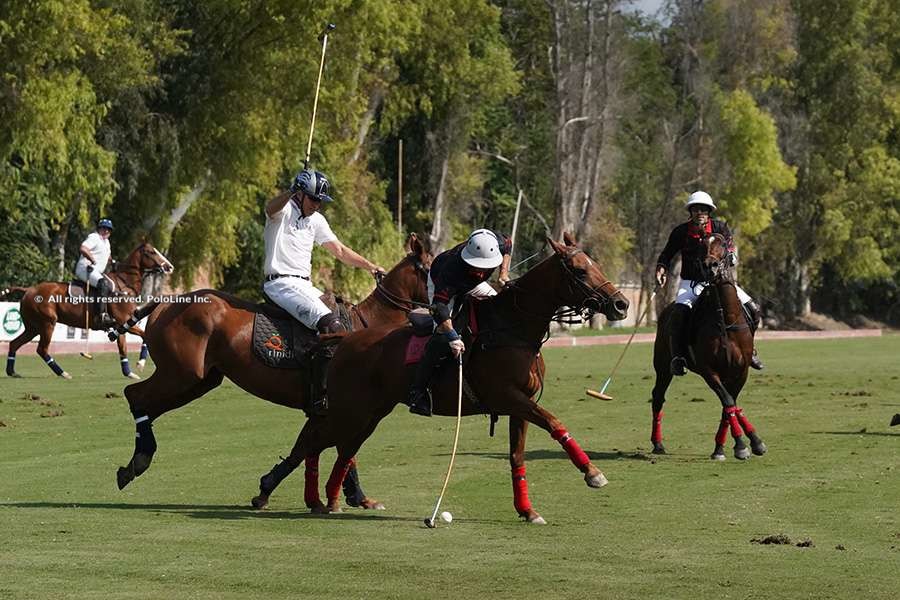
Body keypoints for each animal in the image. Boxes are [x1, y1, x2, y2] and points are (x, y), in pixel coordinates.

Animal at [3, 240, 174, 378]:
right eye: (152, 252)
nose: (169, 267)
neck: (124, 285)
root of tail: (29, 290)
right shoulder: (124, 321)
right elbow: (144, 336)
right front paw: (141, 364)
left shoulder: (122, 325)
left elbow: (123, 348)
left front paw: (129, 373)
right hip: (47, 323)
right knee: (41, 349)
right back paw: (63, 373)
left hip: (33, 327)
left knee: (14, 343)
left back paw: (12, 372)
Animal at [113, 232, 432, 508]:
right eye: (431, 268)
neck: (370, 328)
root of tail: (166, 303)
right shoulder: (343, 405)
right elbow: (335, 447)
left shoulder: (341, 407)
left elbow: (336, 449)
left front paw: (356, 496)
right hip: (181, 374)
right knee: (135, 395)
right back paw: (139, 461)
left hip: (200, 380)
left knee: (147, 405)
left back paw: (132, 466)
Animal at [256, 232, 628, 524]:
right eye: (579, 270)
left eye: (595, 263)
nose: (621, 304)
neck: (512, 328)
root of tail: (344, 339)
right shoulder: (508, 396)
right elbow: (554, 422)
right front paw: (593, 473)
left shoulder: (519, 405)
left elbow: (517, 457)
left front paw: (527, 510)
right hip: (351, 408)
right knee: (312, 440)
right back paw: (268, 491)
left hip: (370, 412)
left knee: (339, 445)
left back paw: (329, 500)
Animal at [648, 233, 768, 460]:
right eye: (702, 246)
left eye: (723, 244)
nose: (709, 266)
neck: (725, 319)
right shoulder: (709, 370)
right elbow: (728, 401)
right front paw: (741, 445)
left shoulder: (741, 371)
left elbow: (729, 404)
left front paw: (732, 446)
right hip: (662, 366)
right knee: (658, 397)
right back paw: (657, 443)